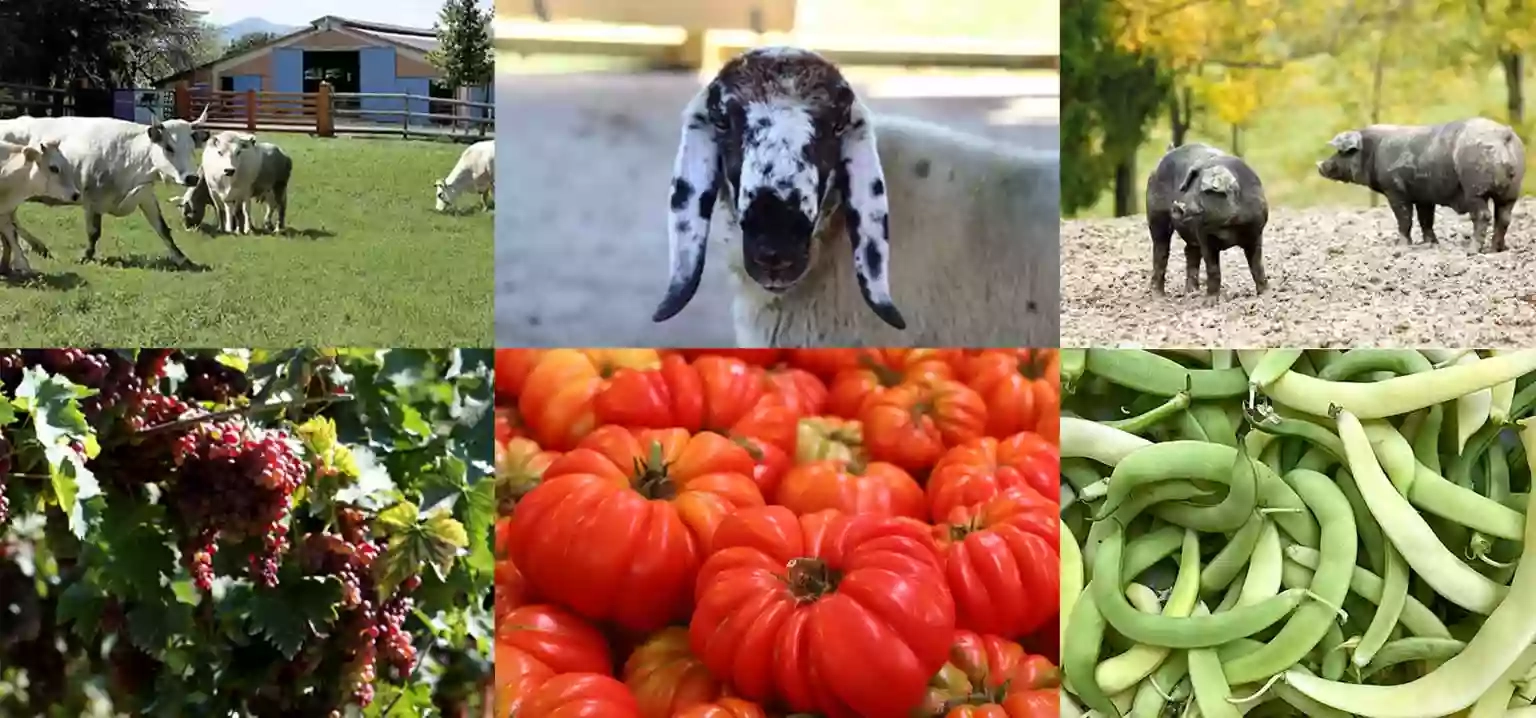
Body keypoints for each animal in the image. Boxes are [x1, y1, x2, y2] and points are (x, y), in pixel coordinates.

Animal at [0, 108, 211, 270]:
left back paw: (37, 246)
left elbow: (162, 229)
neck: (129, 155)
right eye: (169, 147)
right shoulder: (91, 199)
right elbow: (94, 232)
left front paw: (182, 258)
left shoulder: (145, 195)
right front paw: (85, 256)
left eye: (192, 148)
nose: (192, 178)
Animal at [1142, 142, 1271, 301]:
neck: (1228, 224)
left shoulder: (1256, 232)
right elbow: (1213, 269)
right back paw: (1158, 296)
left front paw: (1265, 294)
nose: (1177, 206)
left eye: (1204, 192)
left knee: (1189, 251)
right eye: (1186, 187)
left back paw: (1191, 293)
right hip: (1156, 217)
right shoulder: (1204, 237)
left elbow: (1256, 264)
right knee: (1161, 251)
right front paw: (1210, 302)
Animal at [1314, 118, 1529, 253]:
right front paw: (1430, 243)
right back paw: (1496, 249)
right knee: (1504, 217)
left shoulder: (1395, 191)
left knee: (1483, 215)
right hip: (1512, 190)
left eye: (1342, 152)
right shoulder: (1424, 196)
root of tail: (1503, 135)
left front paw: (1401, 245)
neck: (1373, 151)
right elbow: (1426, 220)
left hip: (1475, 190)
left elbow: (1404, 219)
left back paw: (1473, 251)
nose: (1320, 166)